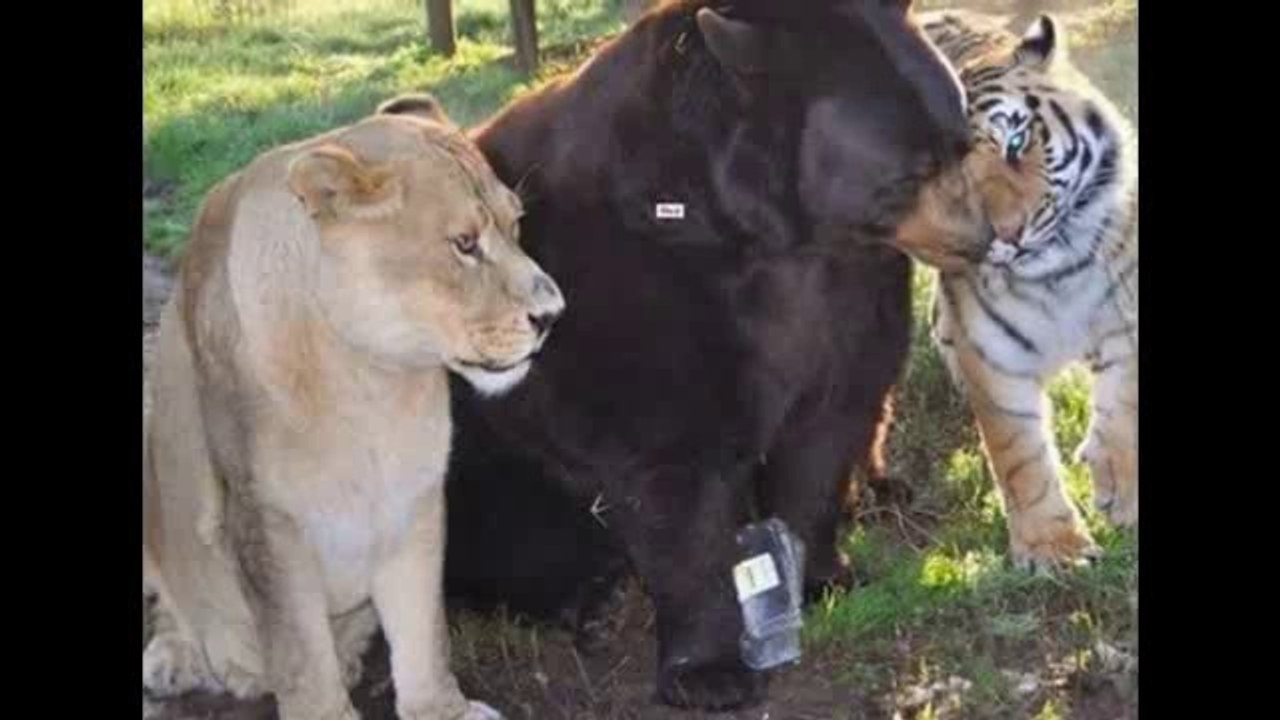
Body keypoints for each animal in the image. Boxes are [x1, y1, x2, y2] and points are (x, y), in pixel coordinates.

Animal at [141, 93, 564, 720]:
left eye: (515, 226)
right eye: (464, 243)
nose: (553, 315)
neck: (368, 382)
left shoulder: (415, 498)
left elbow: (423, 630)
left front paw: (442, 709)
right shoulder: (264, 520)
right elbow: (301, 655)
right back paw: (175, 658)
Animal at [917, 10, 1138, 571]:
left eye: (1016, 144)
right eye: (953, 183)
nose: (1008, 234)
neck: (1056, 277)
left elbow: (1123, 405)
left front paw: (1121, 490)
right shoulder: (993, 357)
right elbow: (1019, 455)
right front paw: (1053, 549)